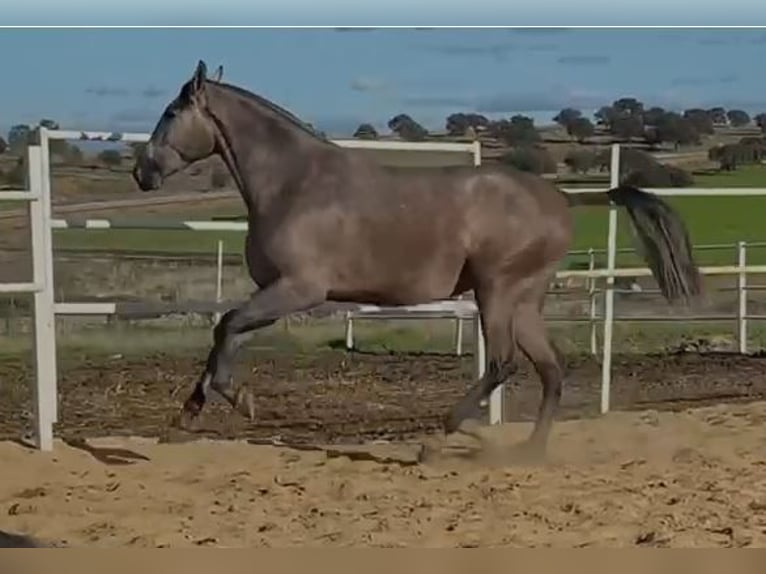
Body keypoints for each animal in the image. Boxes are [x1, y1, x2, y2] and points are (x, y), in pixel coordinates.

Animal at [132, 60, 702, 457]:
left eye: (170, 113)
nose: (143, 172)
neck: (294, 183)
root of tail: (563, 198)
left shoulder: (300, 288)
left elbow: (226, 326)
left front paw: (235, 401)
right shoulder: (275, 291)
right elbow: (224, 335)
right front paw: (190, 414)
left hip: (496, 289)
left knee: (503, 362)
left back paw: (441, 437)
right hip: (524, 298)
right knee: (551, 368)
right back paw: (529, 452)